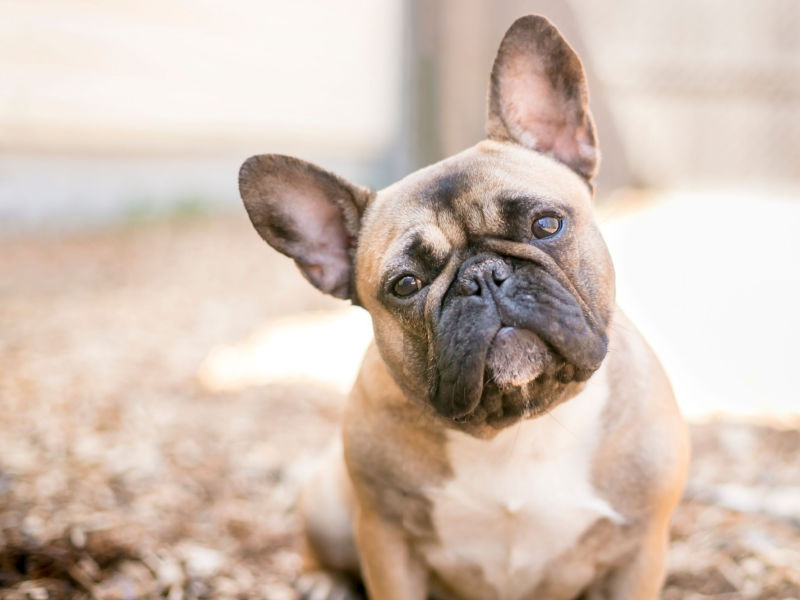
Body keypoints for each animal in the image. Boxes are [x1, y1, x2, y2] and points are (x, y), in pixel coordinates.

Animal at [236, 14, 688, 600]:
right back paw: (324, 583)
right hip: (331, 504)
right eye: (406, 284)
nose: (483, 277)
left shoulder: (638, 550)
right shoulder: (386, 541)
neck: (519, 426)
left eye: (547, 224)